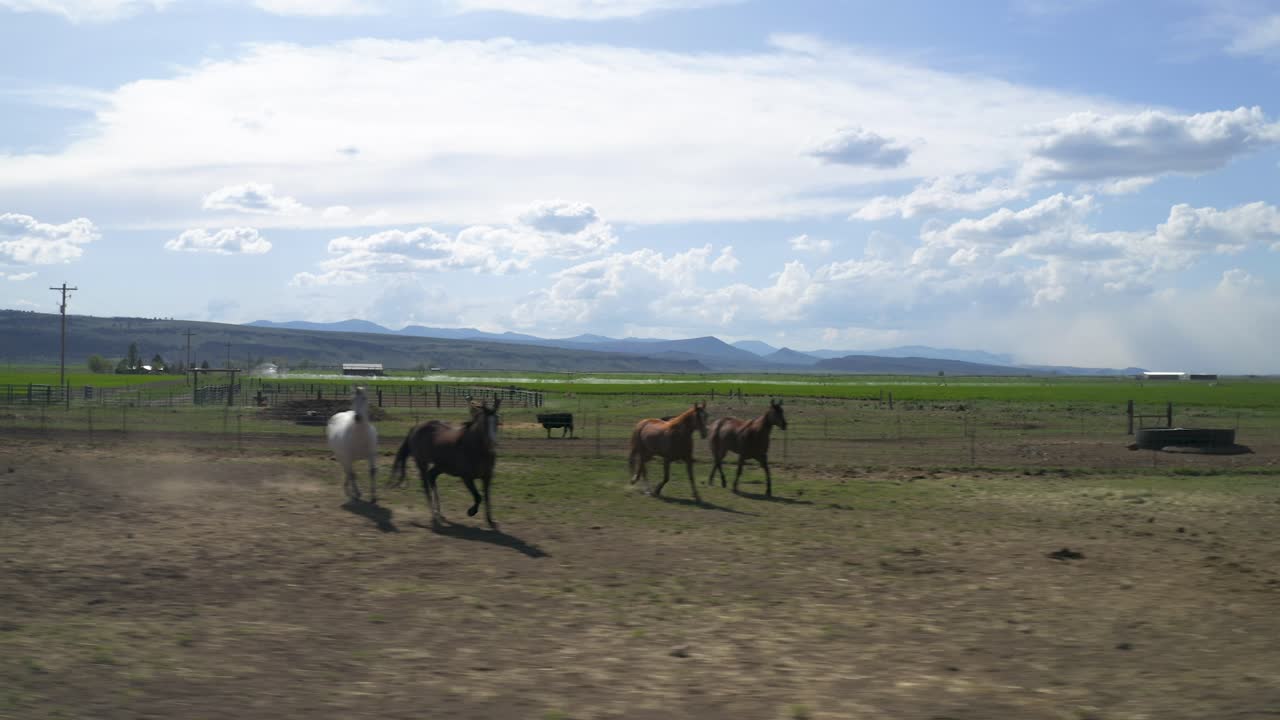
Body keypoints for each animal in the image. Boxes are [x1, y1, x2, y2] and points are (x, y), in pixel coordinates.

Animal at [390, 398, 501, 528]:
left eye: (497, 421)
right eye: (484, 423)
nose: (493, 444)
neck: (476, 448)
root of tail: (416, 428)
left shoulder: (487, 477)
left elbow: (487, 498)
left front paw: (490, 521)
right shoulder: (467, 478)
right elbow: (478, 497)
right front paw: (471, 512)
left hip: (440, 466)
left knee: (431, 476)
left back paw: (439, 513)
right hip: (422, 463)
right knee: (426, 486)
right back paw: (434, 516)